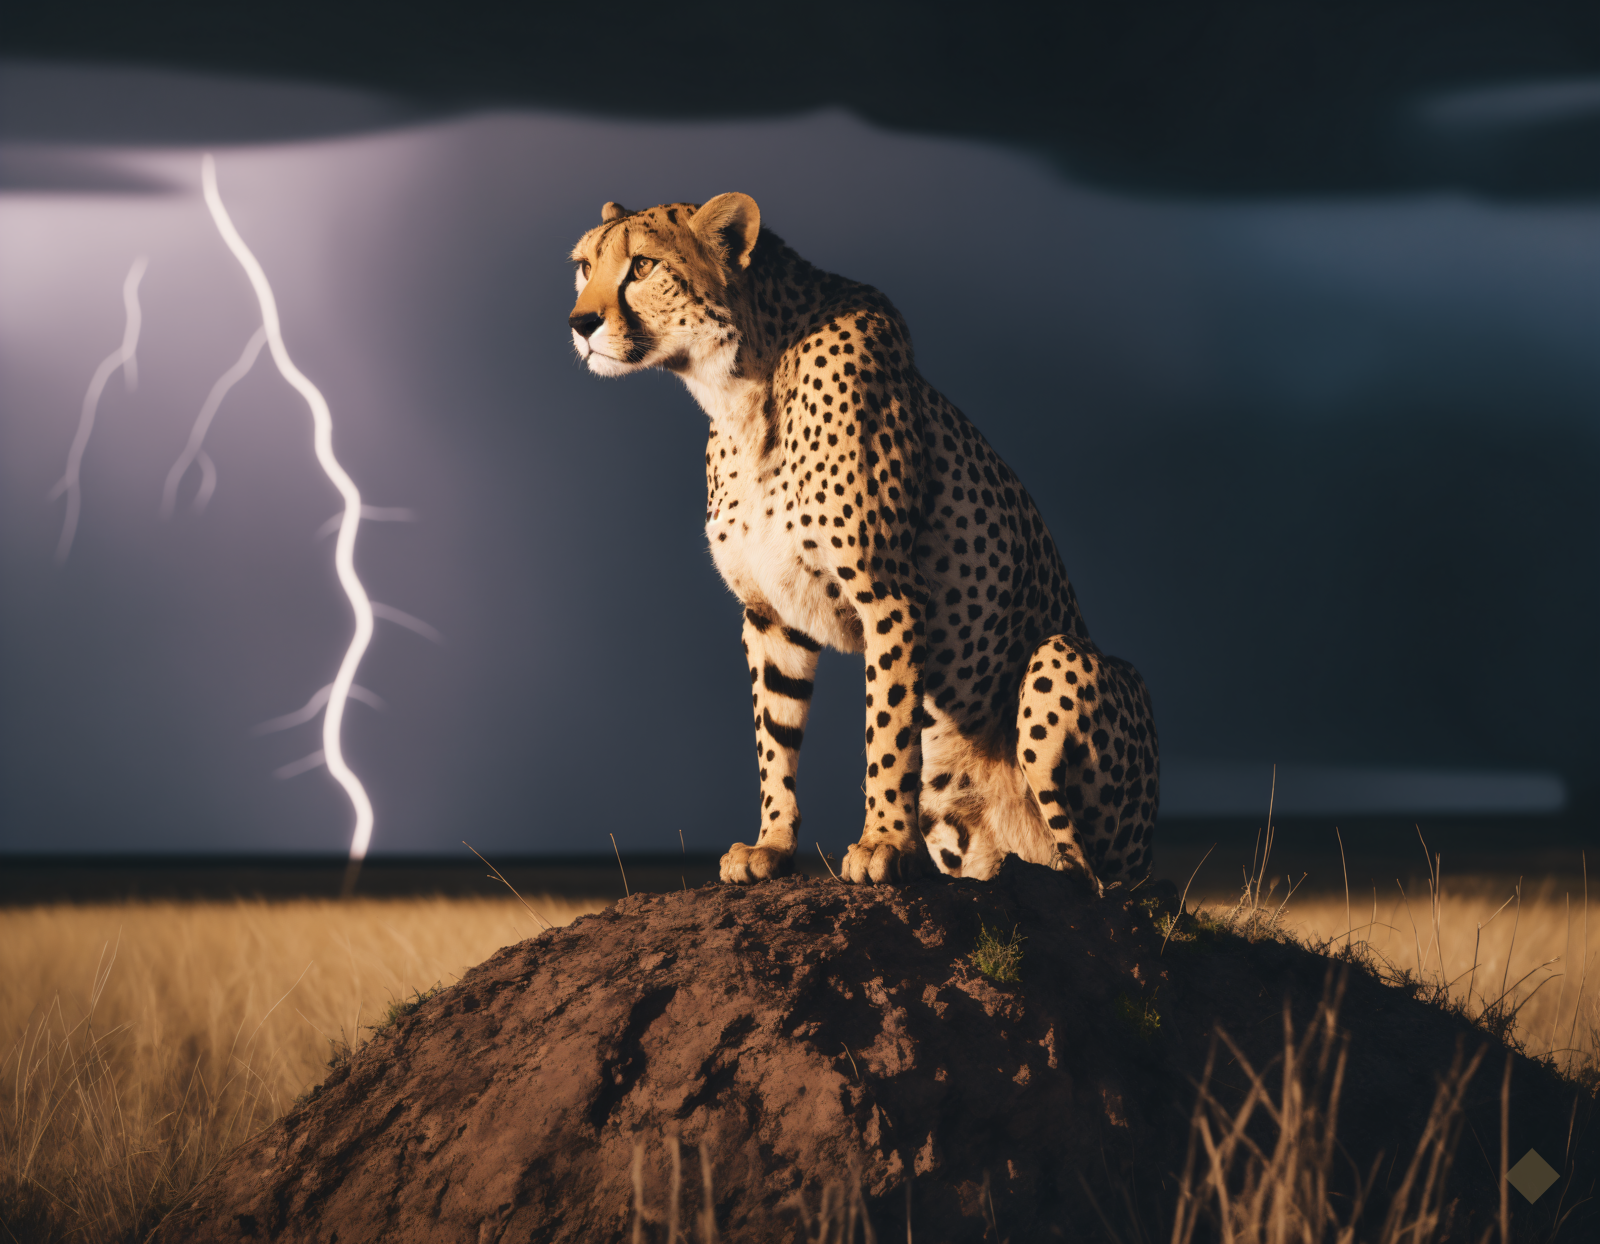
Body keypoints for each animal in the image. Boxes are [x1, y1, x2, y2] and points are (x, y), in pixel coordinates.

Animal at [567, 194, 1159, 890]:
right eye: (584, 267)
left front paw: (882, 842)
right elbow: (775, 737)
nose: (580, 323)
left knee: (1095, 876)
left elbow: (889, 731)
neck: (742, 387)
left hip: (1064, 661)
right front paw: (770, 845)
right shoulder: (771, 615)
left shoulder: (890, 595)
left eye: (642, 265)